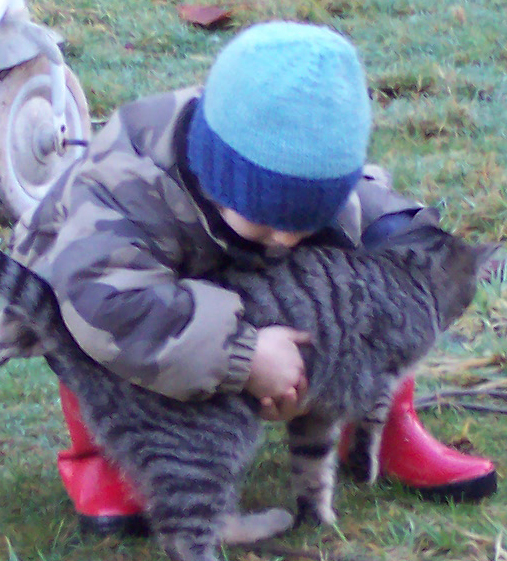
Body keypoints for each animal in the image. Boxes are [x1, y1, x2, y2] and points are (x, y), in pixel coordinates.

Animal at [0, 215, 496, 560]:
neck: (401, 270)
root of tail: (80, 341)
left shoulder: (313, 409)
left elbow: (313, 469)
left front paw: (318, 519)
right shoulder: (377, 376)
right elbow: (371, 425)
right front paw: (363, 467)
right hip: (206, 448)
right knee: (183, 534)